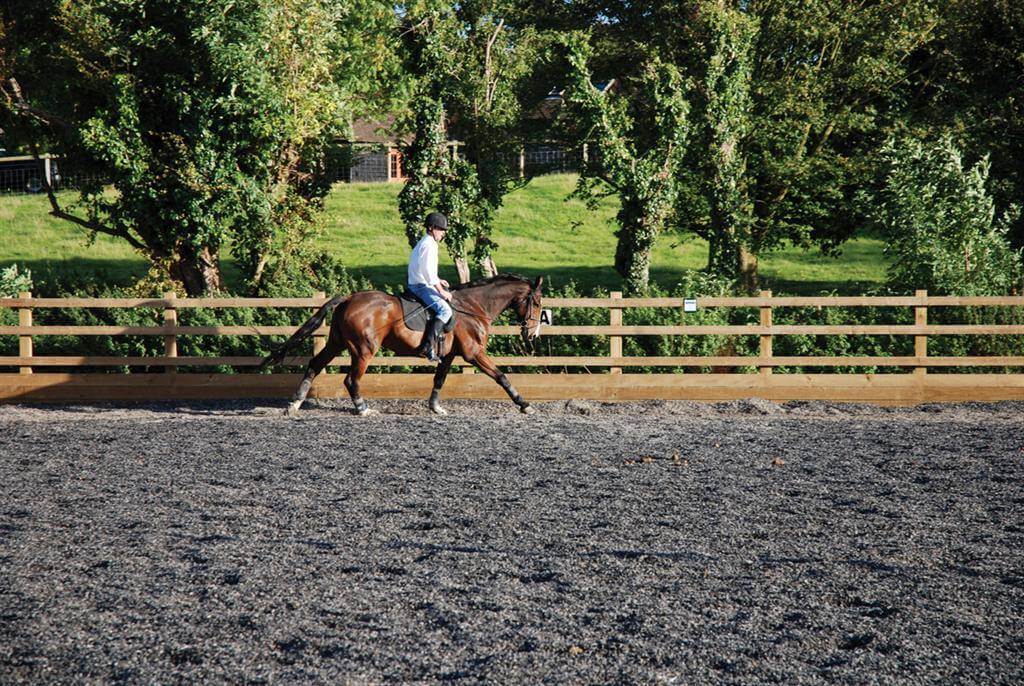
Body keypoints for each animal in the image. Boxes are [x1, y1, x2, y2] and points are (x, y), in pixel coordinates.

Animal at [262, 276, 544, 419]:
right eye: (538, 303)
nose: (532, 335)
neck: (473, 307)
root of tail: (350, 298)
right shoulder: (473, 354)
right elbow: (501, 376)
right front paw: (524, 404)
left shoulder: (448, 355)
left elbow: (439, 380)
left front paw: (435, 407)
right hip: (363, 349)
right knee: (351, 379)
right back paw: (362, 409)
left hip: (336, 342)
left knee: (314, 365)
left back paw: (295, 403)